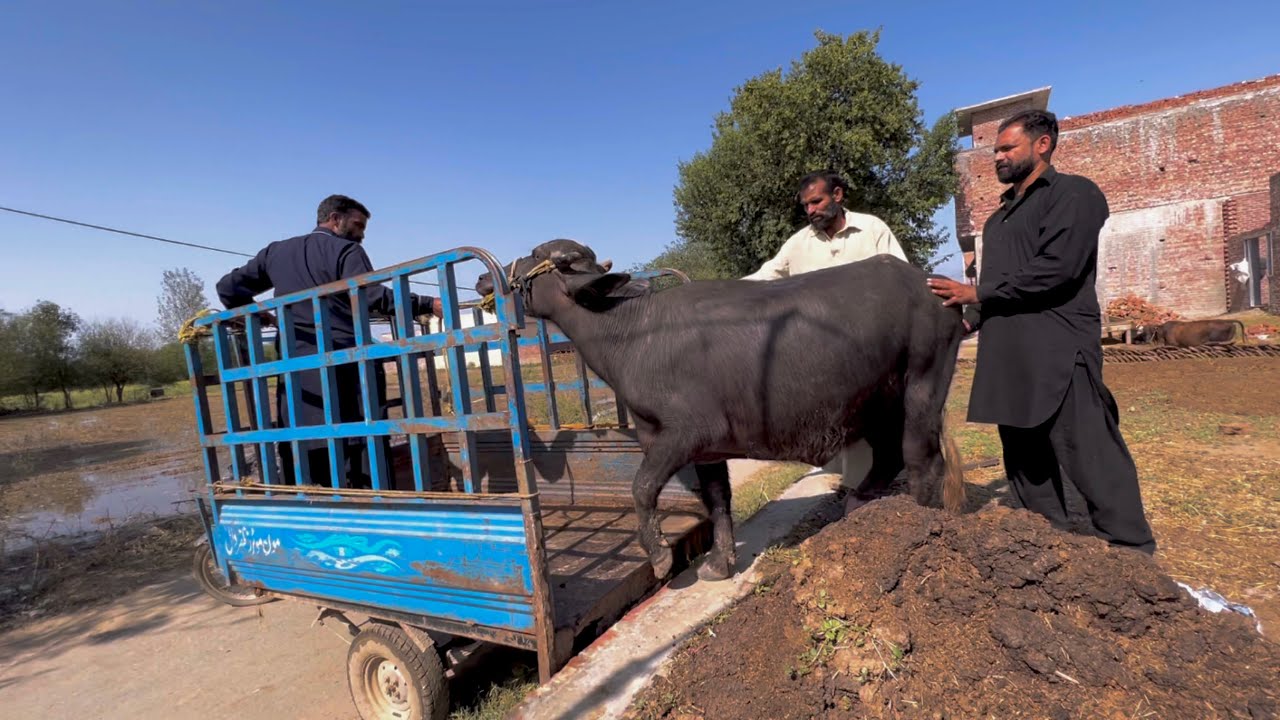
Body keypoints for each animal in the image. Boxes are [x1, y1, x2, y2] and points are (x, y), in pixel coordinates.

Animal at [478, 240, 966, 581]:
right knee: (888, 455)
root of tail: (931, 287)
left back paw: (918, 522)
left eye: (536, 253)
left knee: (922, 460)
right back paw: (859, 506)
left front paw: (659, 557)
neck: (632, 334)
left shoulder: (685, 433)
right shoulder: (705, 448)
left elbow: (642, 487)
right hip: (878, 403)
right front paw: (719, 562)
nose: (486, 281)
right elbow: (717, 500)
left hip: (922, 385)